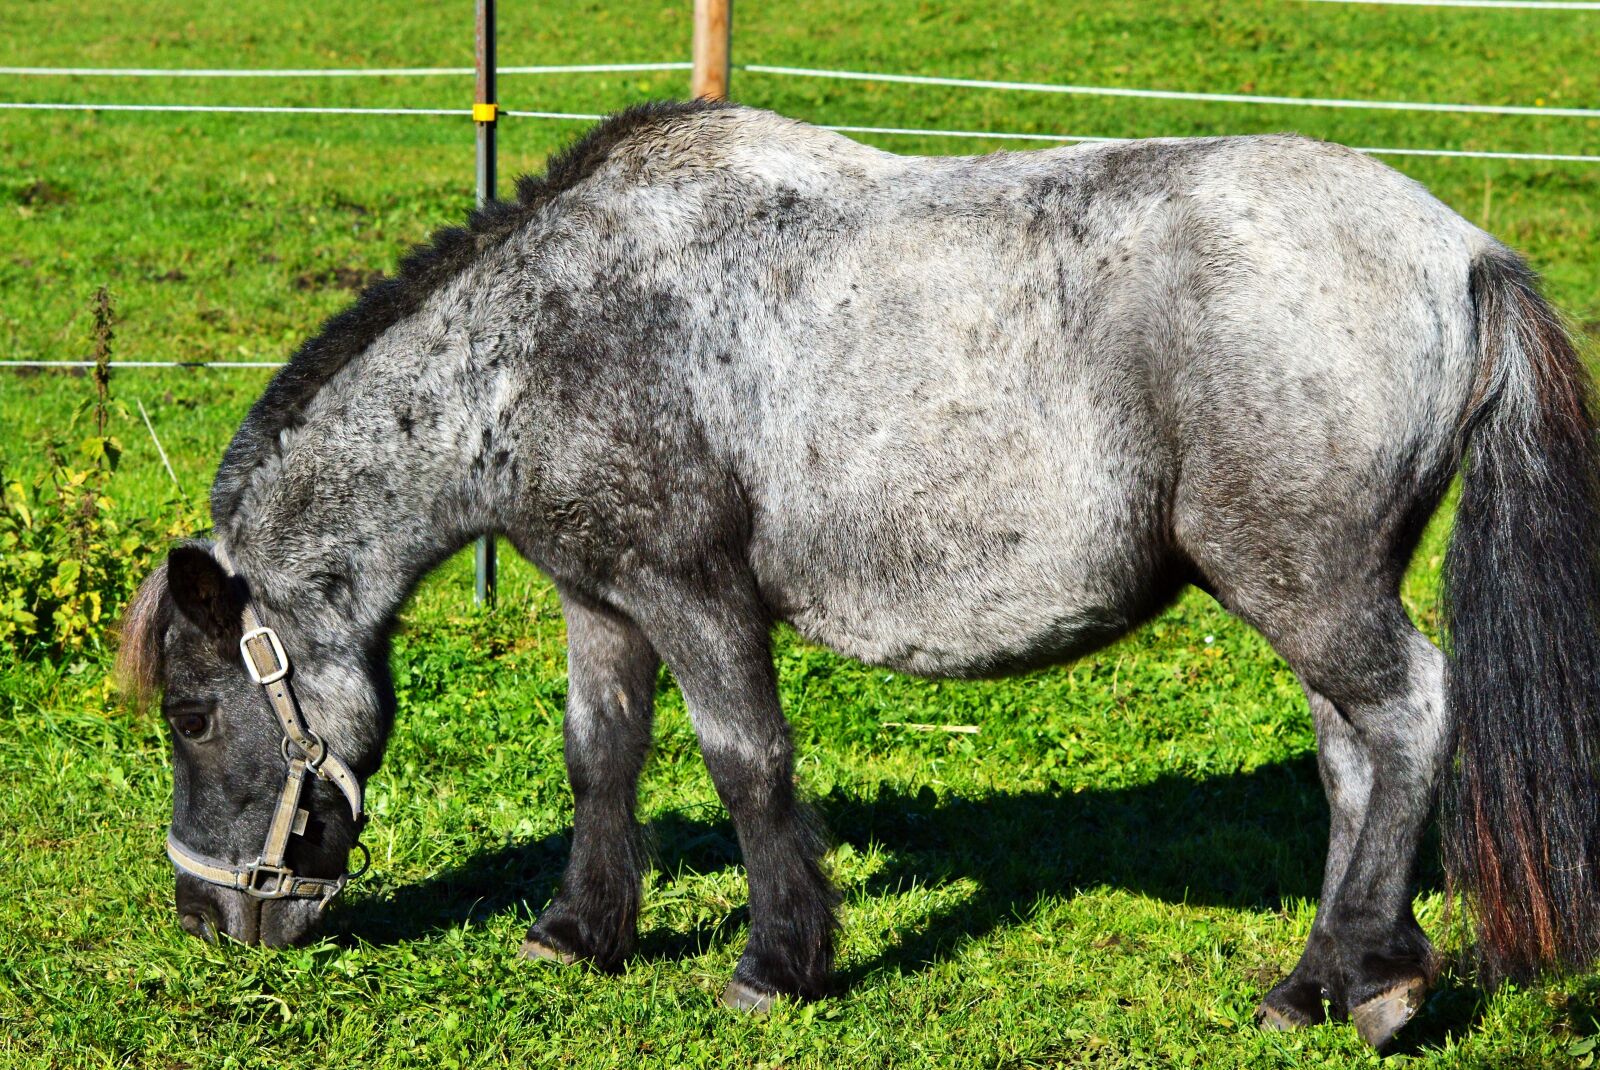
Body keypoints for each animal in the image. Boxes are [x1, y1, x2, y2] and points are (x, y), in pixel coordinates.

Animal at [117, 99, 1600, 1049]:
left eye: (191, 714)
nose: (206, 914)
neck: (542, 341)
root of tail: (1458, 249)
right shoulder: (601, 600)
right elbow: (600, 756)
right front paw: (579, 931)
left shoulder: (697, 598)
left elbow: (745, 762)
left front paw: (778, 962)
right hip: (1311, 594)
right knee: (1355, 757)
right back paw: (1324, 983)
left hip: (1306, 587)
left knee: (1410, 717)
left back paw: (1368, 977)